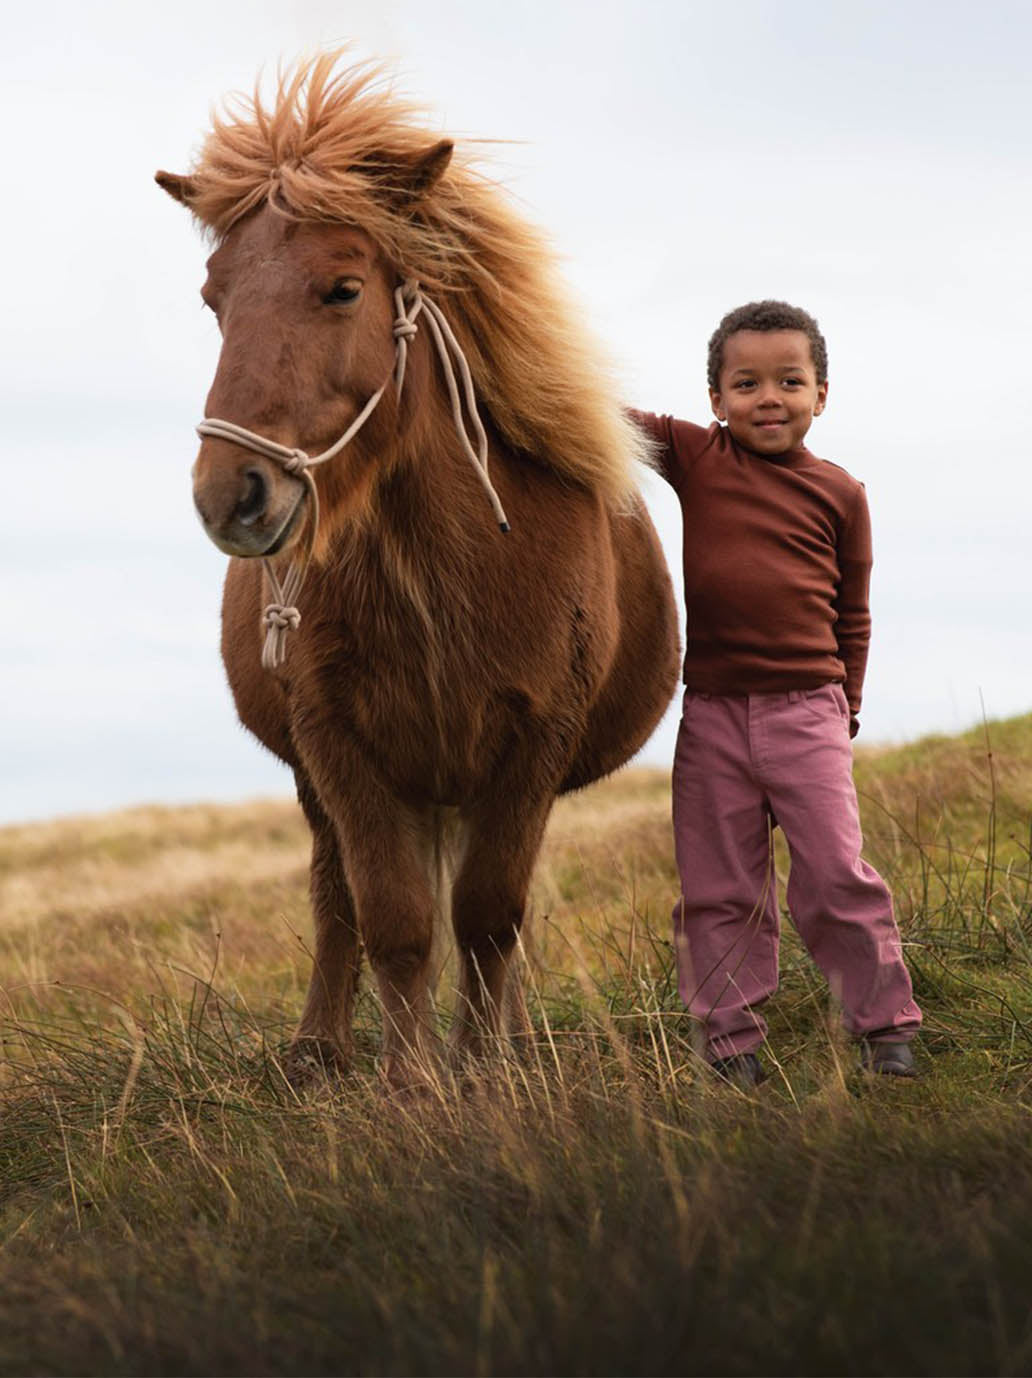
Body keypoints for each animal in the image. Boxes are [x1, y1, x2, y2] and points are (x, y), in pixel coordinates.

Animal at [157, 53, 680, 1085]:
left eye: (342, 288)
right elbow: (391, 918)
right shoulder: (340, 748)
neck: (445, 569)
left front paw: (490, 1071)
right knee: (335, 900)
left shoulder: (531, 745)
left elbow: (489, 914)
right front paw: (412, 1085)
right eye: (214, 299)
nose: (229, 496)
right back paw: (318, 1049)